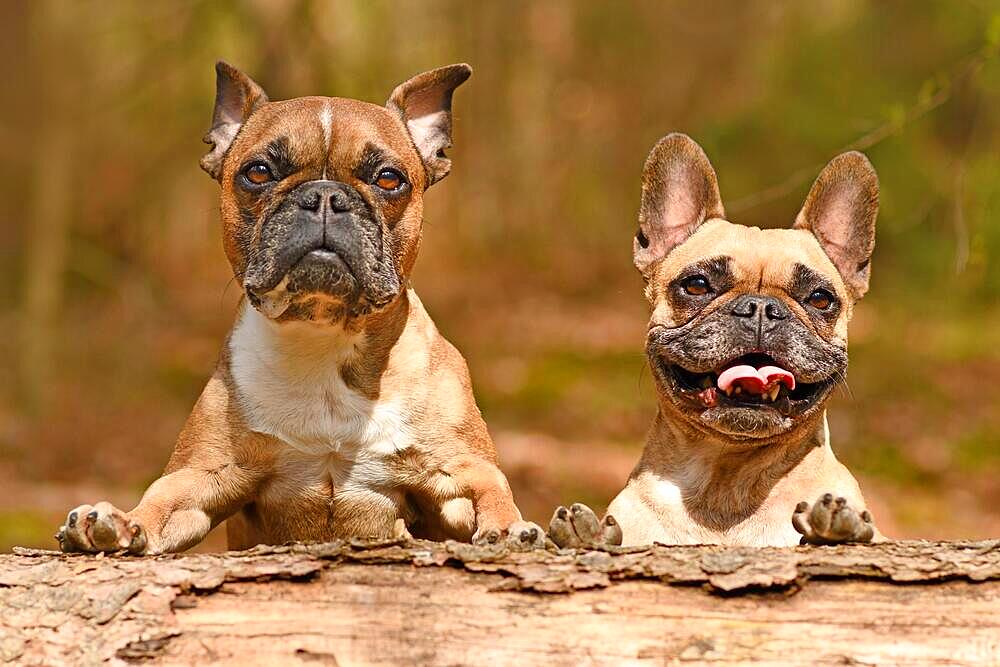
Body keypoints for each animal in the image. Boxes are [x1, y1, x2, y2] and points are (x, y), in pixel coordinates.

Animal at [58, 61, 544, 552]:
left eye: (389, 179)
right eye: (257, 172)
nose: (325, 196)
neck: (324, 335)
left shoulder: (461, 470)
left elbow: (492, 490)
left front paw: (510, 527)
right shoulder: (199, 475)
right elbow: (161, 500)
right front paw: (119, 521)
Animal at [552, 134, 888, 548]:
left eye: (820, 298)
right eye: (697, 285)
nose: (761, 308)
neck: (727, 479)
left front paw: (837, 528)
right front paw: (586, 534)